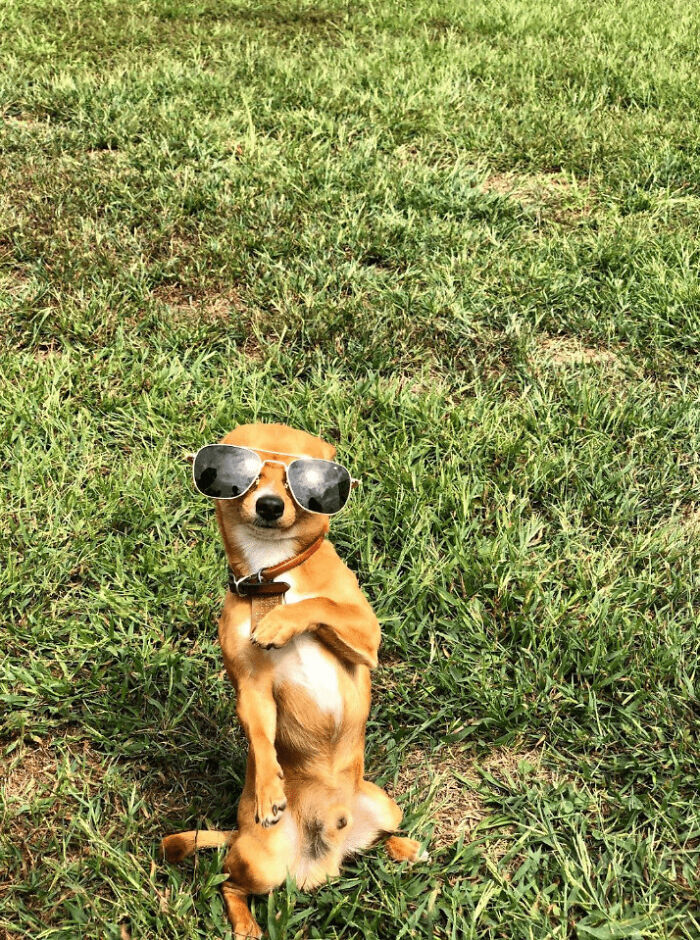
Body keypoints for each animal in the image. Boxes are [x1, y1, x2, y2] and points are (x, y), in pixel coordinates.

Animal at [162, 422, 430, 936]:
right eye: (236, 474)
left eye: (303, 483)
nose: (269, 504)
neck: (271, 578)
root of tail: (324, 857)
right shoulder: (251, 688)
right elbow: (260, 737)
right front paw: (269, 787)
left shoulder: (366, 637)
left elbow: (319, 604)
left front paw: (281, 624)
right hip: (261, 863)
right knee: (230, 884)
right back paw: (246, 924)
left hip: (386, 805)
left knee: (376, 841)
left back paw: (405, 847)